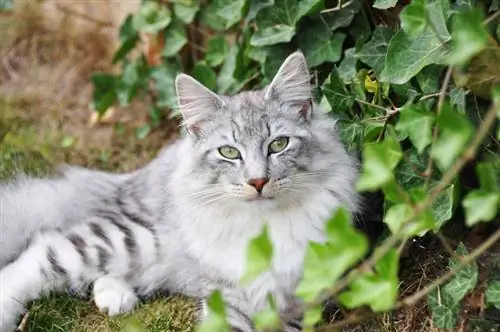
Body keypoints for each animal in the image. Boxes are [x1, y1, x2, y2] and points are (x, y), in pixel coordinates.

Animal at [0, 50, 360, 330]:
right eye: (229, 152)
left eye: (278, 144)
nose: (257, 181)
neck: (262, 231)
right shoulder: (226, 294)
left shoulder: (298, 298)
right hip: (131, 238)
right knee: (39, 254)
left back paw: (116, 297)